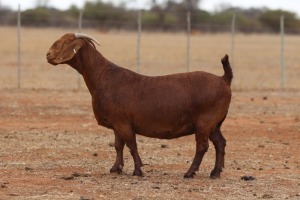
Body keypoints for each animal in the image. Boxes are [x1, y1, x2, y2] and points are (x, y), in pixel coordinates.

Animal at [47, 32, 233, 178]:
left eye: (65, 42)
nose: (48, 55)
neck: (104, 77)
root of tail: (224, 79)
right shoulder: (116, 123)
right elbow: (118, 146)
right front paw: (116, 168)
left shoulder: (123, 123)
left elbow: (131, 145)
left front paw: (138, 170)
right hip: (215, 123)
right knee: (220, 142)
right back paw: (215, 172)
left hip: (205, 121)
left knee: (202, 146)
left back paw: (189, 173)